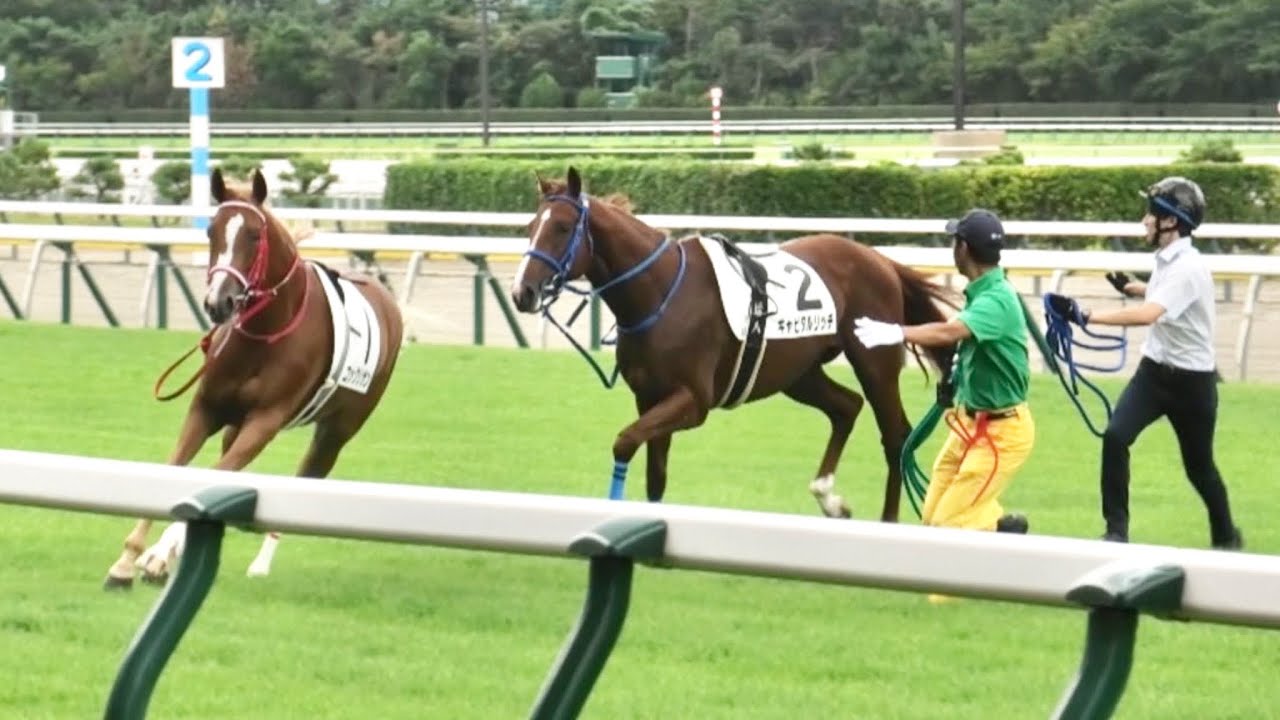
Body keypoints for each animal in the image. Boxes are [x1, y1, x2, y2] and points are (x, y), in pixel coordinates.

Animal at [103, 167, 405, 588]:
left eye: (254, 235)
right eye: (210, 230)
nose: (218, 303)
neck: (265, 334)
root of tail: (383, 295)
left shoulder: (265, 422)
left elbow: (215, 475)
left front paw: (157, 555)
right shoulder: (207, 408)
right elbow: (178, 471)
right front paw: (128, 559)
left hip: (336, 432)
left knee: (304, 477)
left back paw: (259, 563)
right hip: (236, 422)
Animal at [510, 166, 959, 521]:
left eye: (562, 228)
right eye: (530, 229)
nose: (522, 292)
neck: (661, 294)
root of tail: (879, 259)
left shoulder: (693, 401)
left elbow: (624, 442)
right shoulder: (649, 397)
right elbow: (655, 477)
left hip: (874, 362)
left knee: (895, 436)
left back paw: (887, 520)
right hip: (797, 373)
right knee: (846, 407)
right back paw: (829, 497)